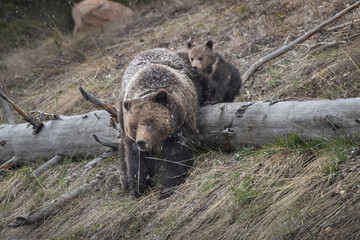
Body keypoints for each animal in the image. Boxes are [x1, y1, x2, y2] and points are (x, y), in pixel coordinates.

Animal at [119, 48, 200, 199]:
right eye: (134, 126)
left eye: (149, 122)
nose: (141, 142)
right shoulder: (130, 137)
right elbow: (135, 161)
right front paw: (138, 188)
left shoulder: (179, 124)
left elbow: (176, 156)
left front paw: (167, 188)